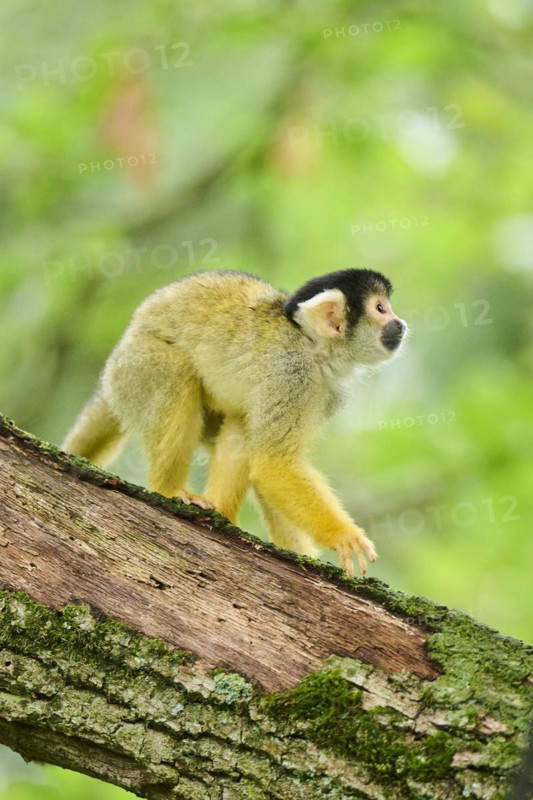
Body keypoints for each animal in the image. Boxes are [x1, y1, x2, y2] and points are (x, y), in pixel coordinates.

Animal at [62, 268, 407, 577]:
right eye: (380, 308)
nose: (400, 323)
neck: (313, 345)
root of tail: (113, 366)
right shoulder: (291, 373)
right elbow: (274, 463)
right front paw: (344, 536)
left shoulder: (327, 391)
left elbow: (268, 456)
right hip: (139, 365)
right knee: (176, 375)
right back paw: (168, 489)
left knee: (242, 421)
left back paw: (221, 511)